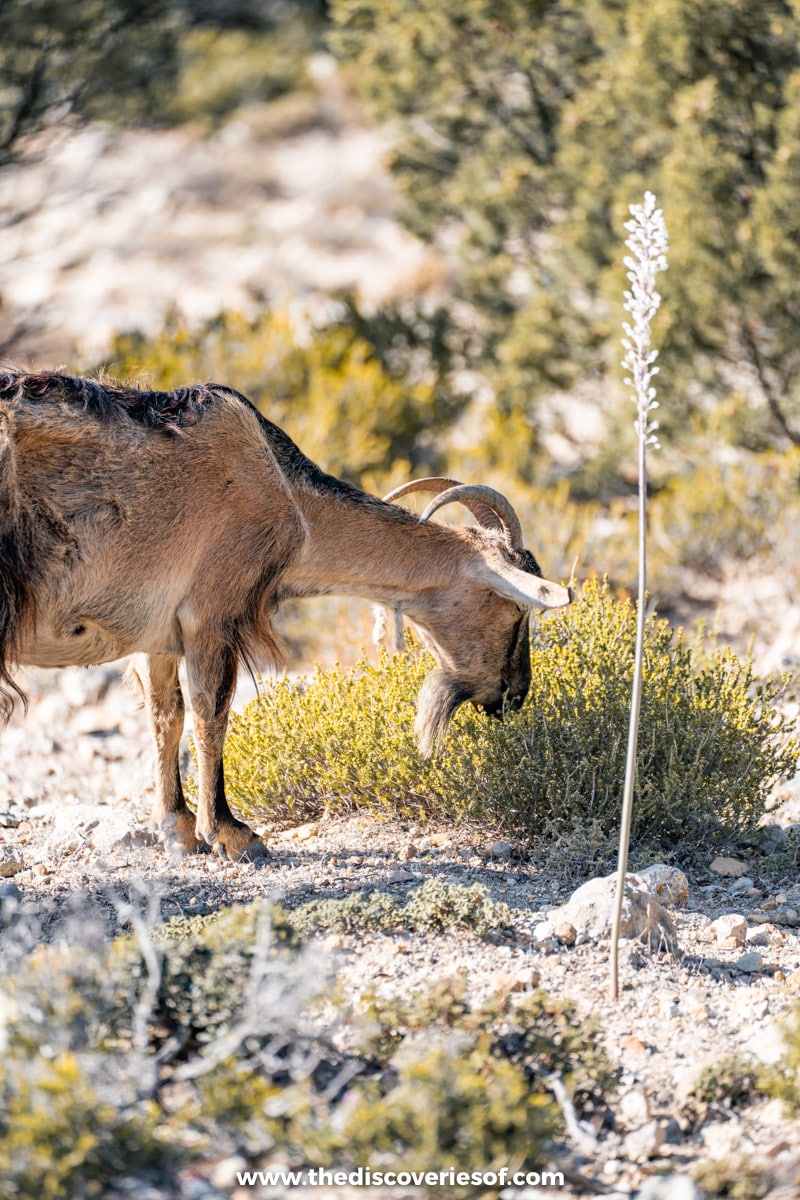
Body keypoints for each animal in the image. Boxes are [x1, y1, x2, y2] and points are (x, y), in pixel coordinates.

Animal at [1, 369, 575, 859]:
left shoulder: (155, 632)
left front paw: (177, 829)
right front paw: (232, 833)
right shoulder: (210, 613)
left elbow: (167, 716)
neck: (289, 498)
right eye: (515, 610)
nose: (513, 697)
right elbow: (211, 715)